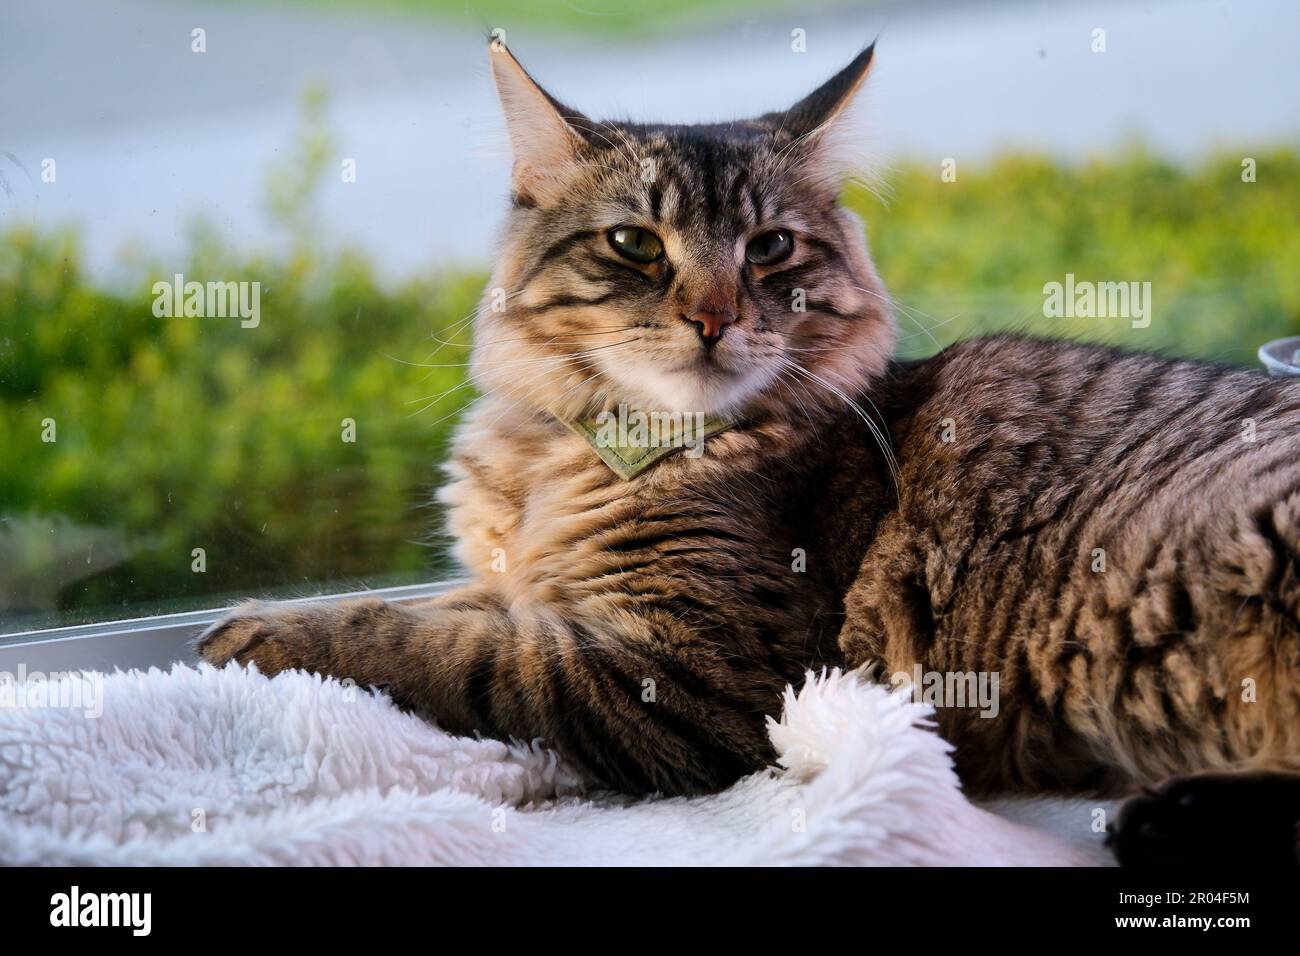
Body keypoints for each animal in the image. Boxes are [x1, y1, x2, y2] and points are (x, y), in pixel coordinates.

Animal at [195, 41, 1300, 863]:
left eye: (769, 248)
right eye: (635, 245)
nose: (714, 317)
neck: (565, 456)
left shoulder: (696, 671)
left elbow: (443, 647)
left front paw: (256, 632)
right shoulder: (536, 592)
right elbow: (449, 607)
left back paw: (1158, 820)